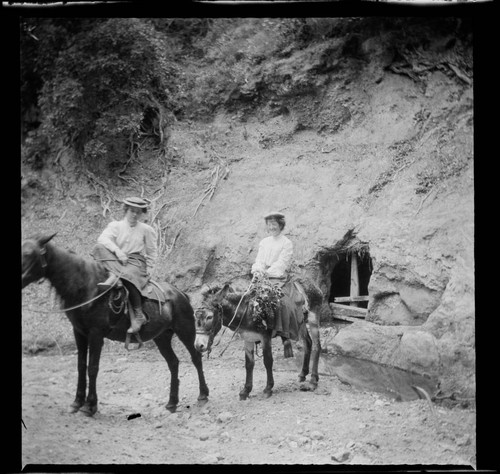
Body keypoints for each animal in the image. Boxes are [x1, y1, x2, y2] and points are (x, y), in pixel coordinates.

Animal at [21, 233, 209, 414]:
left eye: (28, 254)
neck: (86, 288)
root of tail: (181, 294)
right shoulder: (79, 332)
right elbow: (81, 366)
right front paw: (77, 403)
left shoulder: (96, 334)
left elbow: (93, 367)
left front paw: (90, 406)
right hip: (162, 337)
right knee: (173, 363)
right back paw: (172, 403)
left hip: (186, 331)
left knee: (196, 358)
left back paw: (203, 395)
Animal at [193, 280, 322, 398]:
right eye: (195, 315)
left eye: (209, 317)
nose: (198, 345)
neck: (247, 311)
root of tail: (311, 284)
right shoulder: (248, 338)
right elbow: (249, 364)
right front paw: (246, 391)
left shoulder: (265, 337)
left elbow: (268, 361)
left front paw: (268, 388)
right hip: (301, 323)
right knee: (308, 343)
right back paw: (303, 374)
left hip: (313, 319)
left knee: (317, 346)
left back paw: (313, 381)